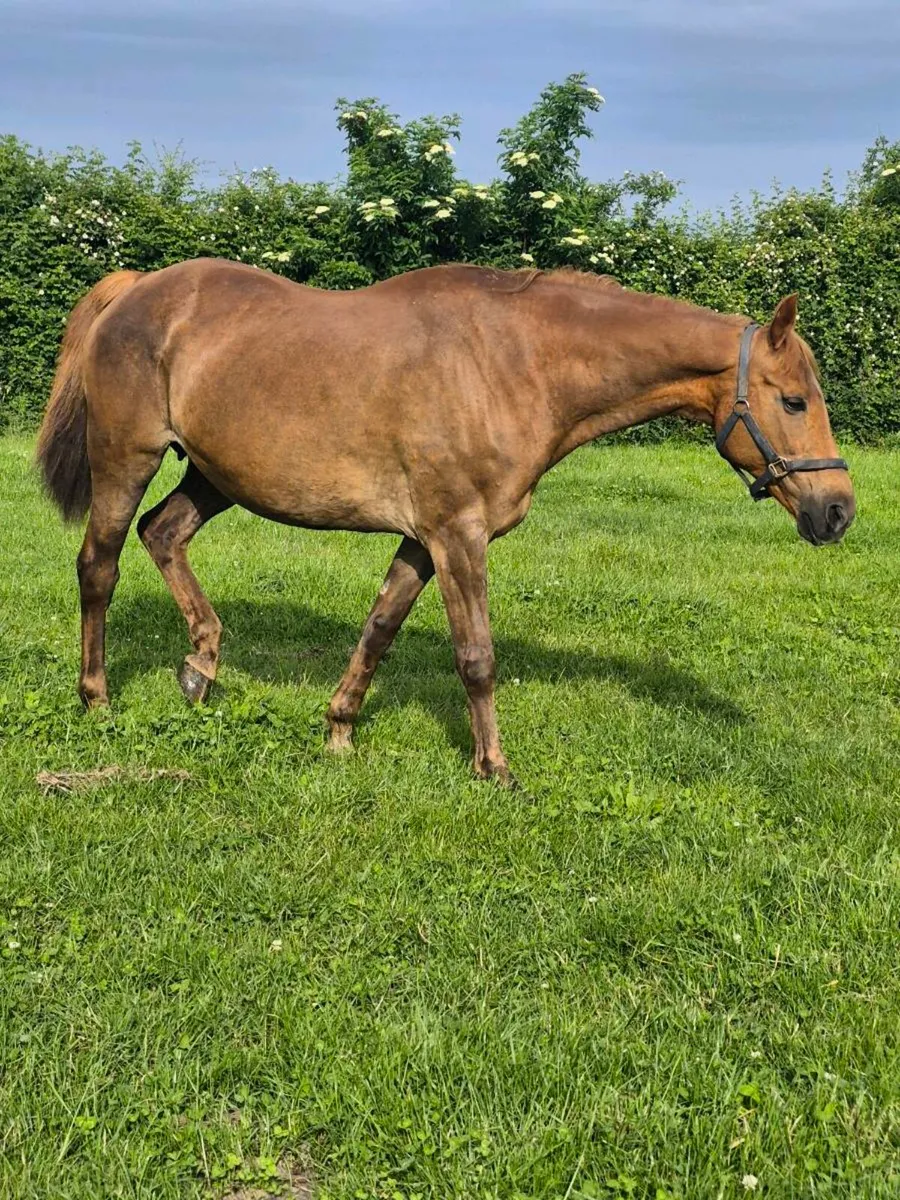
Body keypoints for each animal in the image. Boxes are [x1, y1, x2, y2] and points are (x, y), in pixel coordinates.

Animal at [36, 259, 854, 786]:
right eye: (792, 400)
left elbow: (379, 628)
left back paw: (201, 666)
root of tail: (138, 291)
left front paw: (338, 730)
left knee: (163, 535)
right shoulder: (458, 536)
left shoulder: (423, 539)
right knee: (99, 565)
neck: (513, 362)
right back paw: (97, 698)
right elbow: (477, 657)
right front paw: (494, 768)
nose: (838, 510)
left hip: (213, 476)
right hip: (127, 460)